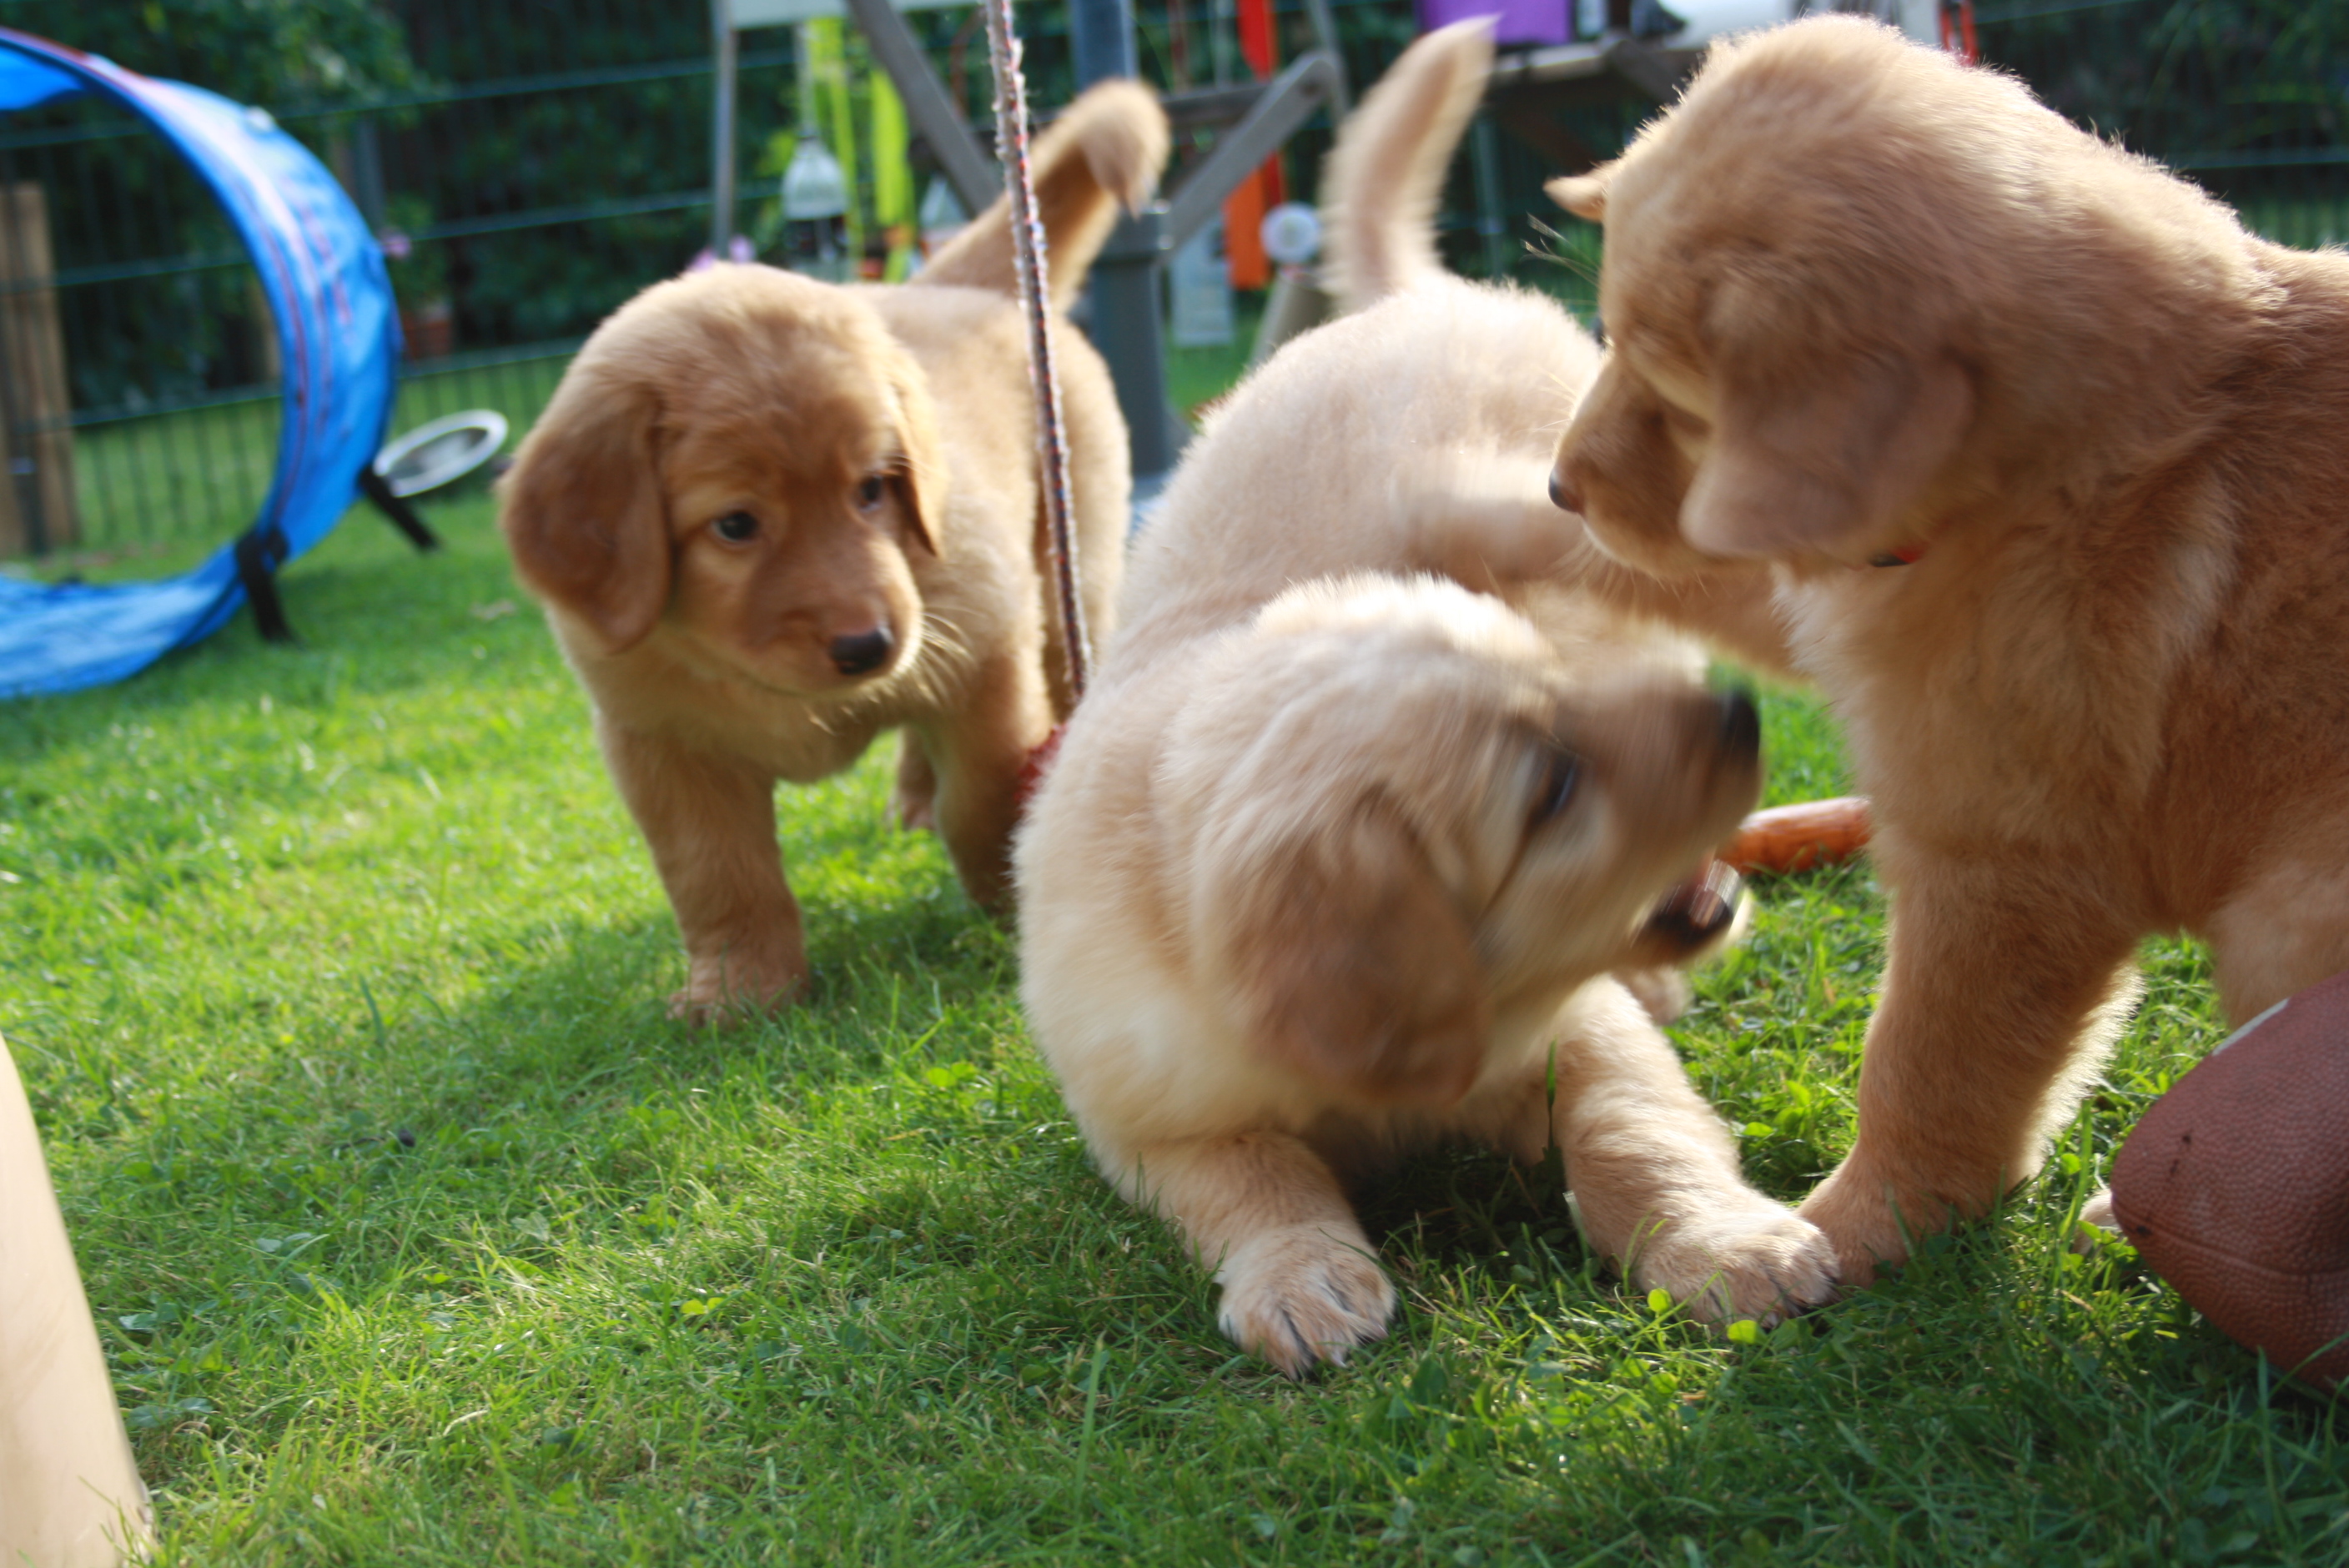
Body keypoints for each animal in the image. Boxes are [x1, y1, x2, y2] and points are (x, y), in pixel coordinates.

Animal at [499, 83, 1168, 1023]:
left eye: (873, 488)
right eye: (735, 525)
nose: (868, 647)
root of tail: (958, 285)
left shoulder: (984, 652)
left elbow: (984, 796)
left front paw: (1007, 905)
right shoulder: (659, 742)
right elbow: (717, 874)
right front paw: (741, 988)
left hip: (1071, 574)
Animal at [1014, 24, 1835, 1376]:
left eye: (1558, 695)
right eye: (1548, 792)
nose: (1736, 721)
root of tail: (1406, 298)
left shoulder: (1581, 1037)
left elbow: (1638, 1136)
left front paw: (1729, 1244)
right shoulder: (1153, 1117)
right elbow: (1255, 1180)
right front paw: (1301, 1278)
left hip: (1568, 517)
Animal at [1549, 15, 2349, 1285]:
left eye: (1678, 403)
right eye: (1605, 338)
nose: (1558, 486)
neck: (2039, 477)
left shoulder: (2001, 863)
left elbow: (1930, 1065)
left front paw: (1848, 1230)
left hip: (2290, 916)